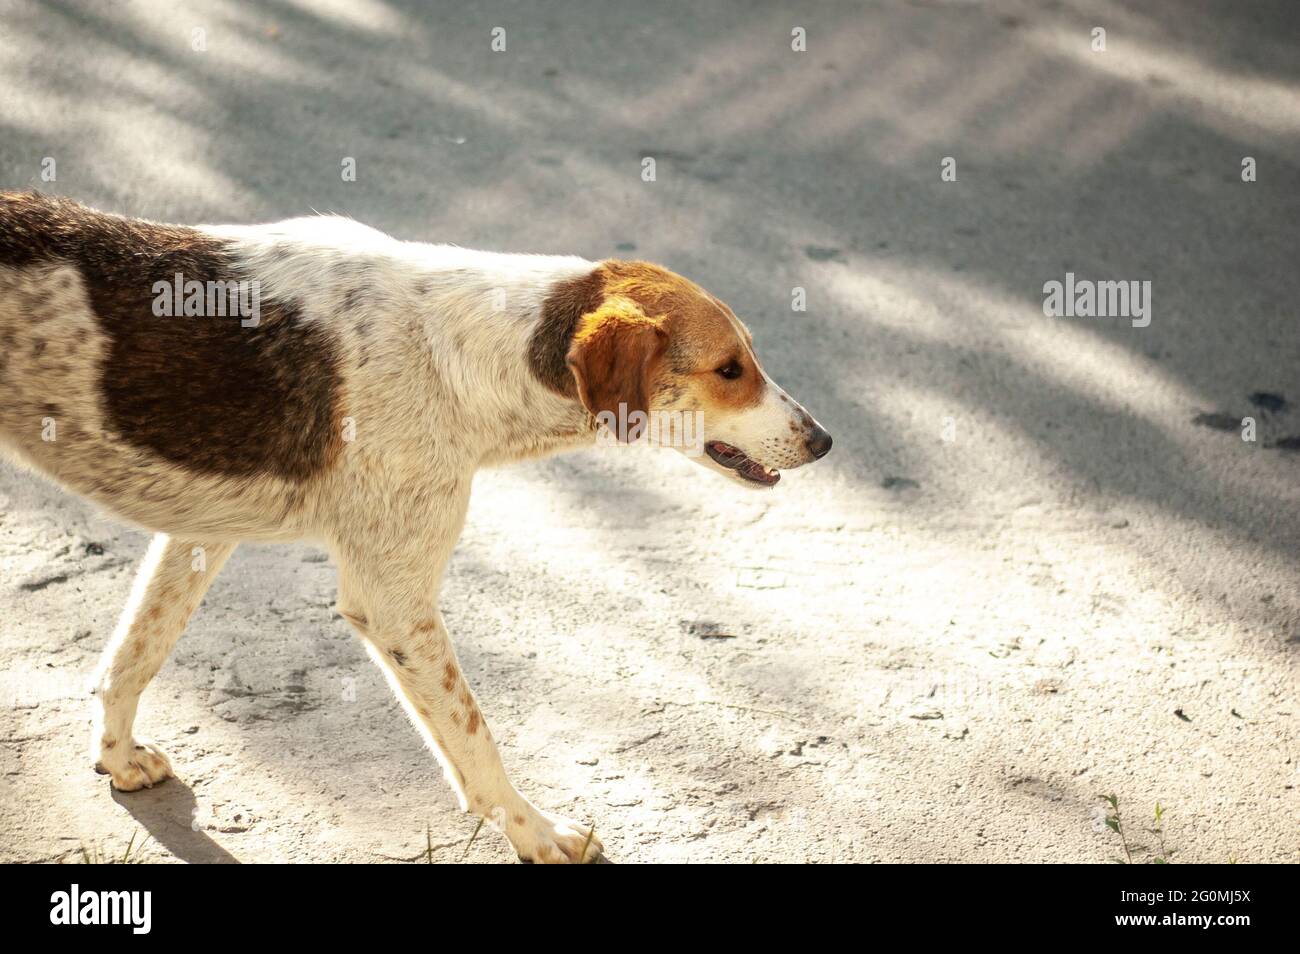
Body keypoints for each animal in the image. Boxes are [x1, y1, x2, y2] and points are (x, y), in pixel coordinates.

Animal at [0, 194, 832, 868]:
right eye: (730, 369)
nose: (825, 441)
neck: (465, 355)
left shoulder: (201, 531)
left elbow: (132, 654)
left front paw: (116, 758)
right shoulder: (393, 604)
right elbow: (476, 741)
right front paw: (535, 832)